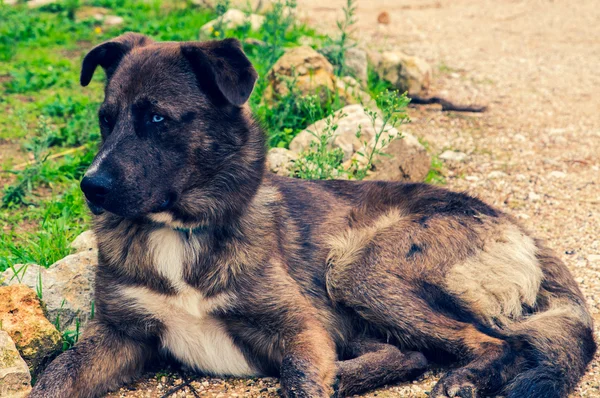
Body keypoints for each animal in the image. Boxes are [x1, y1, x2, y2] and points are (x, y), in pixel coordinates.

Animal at [31, 32, 596, 396]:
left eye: (156, 119)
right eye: (106, 121)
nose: (91, 187)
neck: (183, 232)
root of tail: (517, 228)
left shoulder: (300, 329)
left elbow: (300, 381)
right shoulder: (118, 334)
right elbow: (56, 375)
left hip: (356, 269)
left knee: (493, 343)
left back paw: (461, 380)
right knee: (415, 352)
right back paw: (352, 377)